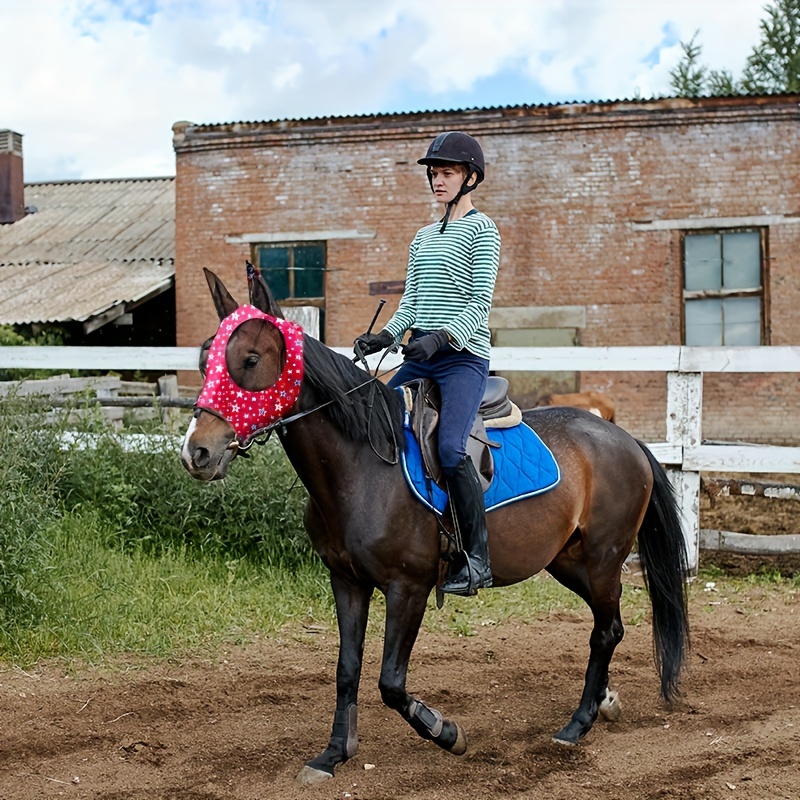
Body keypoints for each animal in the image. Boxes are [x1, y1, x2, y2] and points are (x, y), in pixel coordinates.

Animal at [181, 267, 689, 786]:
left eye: (250, 358)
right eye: (205, 361)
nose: (196, 452)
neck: (363, 465)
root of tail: (623, 438)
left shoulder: (409, 588)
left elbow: (390, 681)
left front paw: (447, 732)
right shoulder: (346, 581)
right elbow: (347, 669)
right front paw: (333, 754)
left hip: (603, 559)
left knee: (605, 632)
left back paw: (576, 725)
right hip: (568, 561)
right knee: (611, 625)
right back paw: (604, 702)